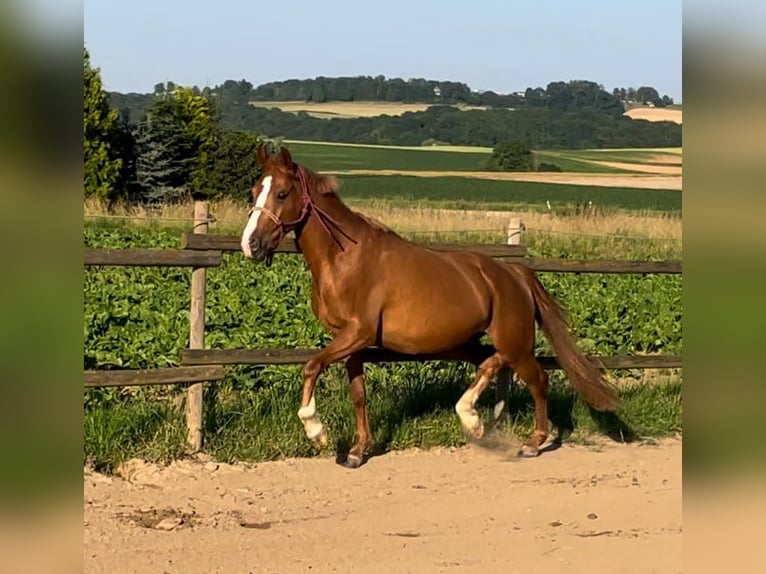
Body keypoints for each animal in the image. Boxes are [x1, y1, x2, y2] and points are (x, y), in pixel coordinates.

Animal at [243, 144, 620, 468]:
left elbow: (310, 366)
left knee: (536, 378)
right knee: (491, 361)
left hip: (513, 340)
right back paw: (479, 421)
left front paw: (316, 432)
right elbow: (358, 394)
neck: (345, 257)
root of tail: (513, 273)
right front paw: (357, 451)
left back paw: (527, 440)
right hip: (464, 342)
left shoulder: (358, 334)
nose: (251, 244)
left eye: (282, 193)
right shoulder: (350, 343)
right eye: (254, 190)